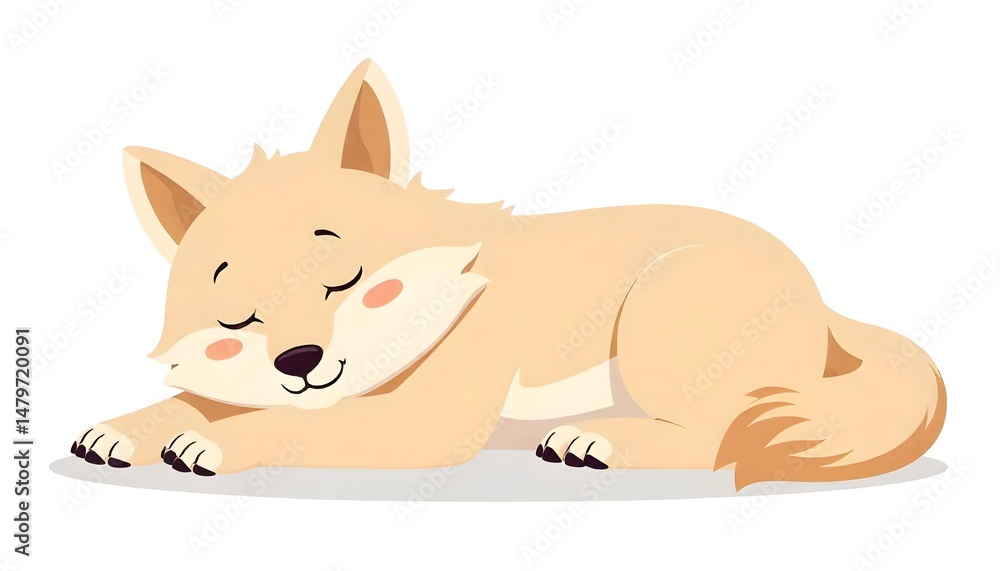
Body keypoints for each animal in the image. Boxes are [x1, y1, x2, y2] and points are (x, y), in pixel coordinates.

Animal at [71, 59, 944, 489]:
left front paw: (215, 440)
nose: (299, 360)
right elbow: (193, 403)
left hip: (661, 312)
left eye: (342, 278)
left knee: (716, 439)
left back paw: (600, 441)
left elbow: (284, 426)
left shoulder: (423, 423)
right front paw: (125, 427)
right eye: (239, 318)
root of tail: (824, 299)